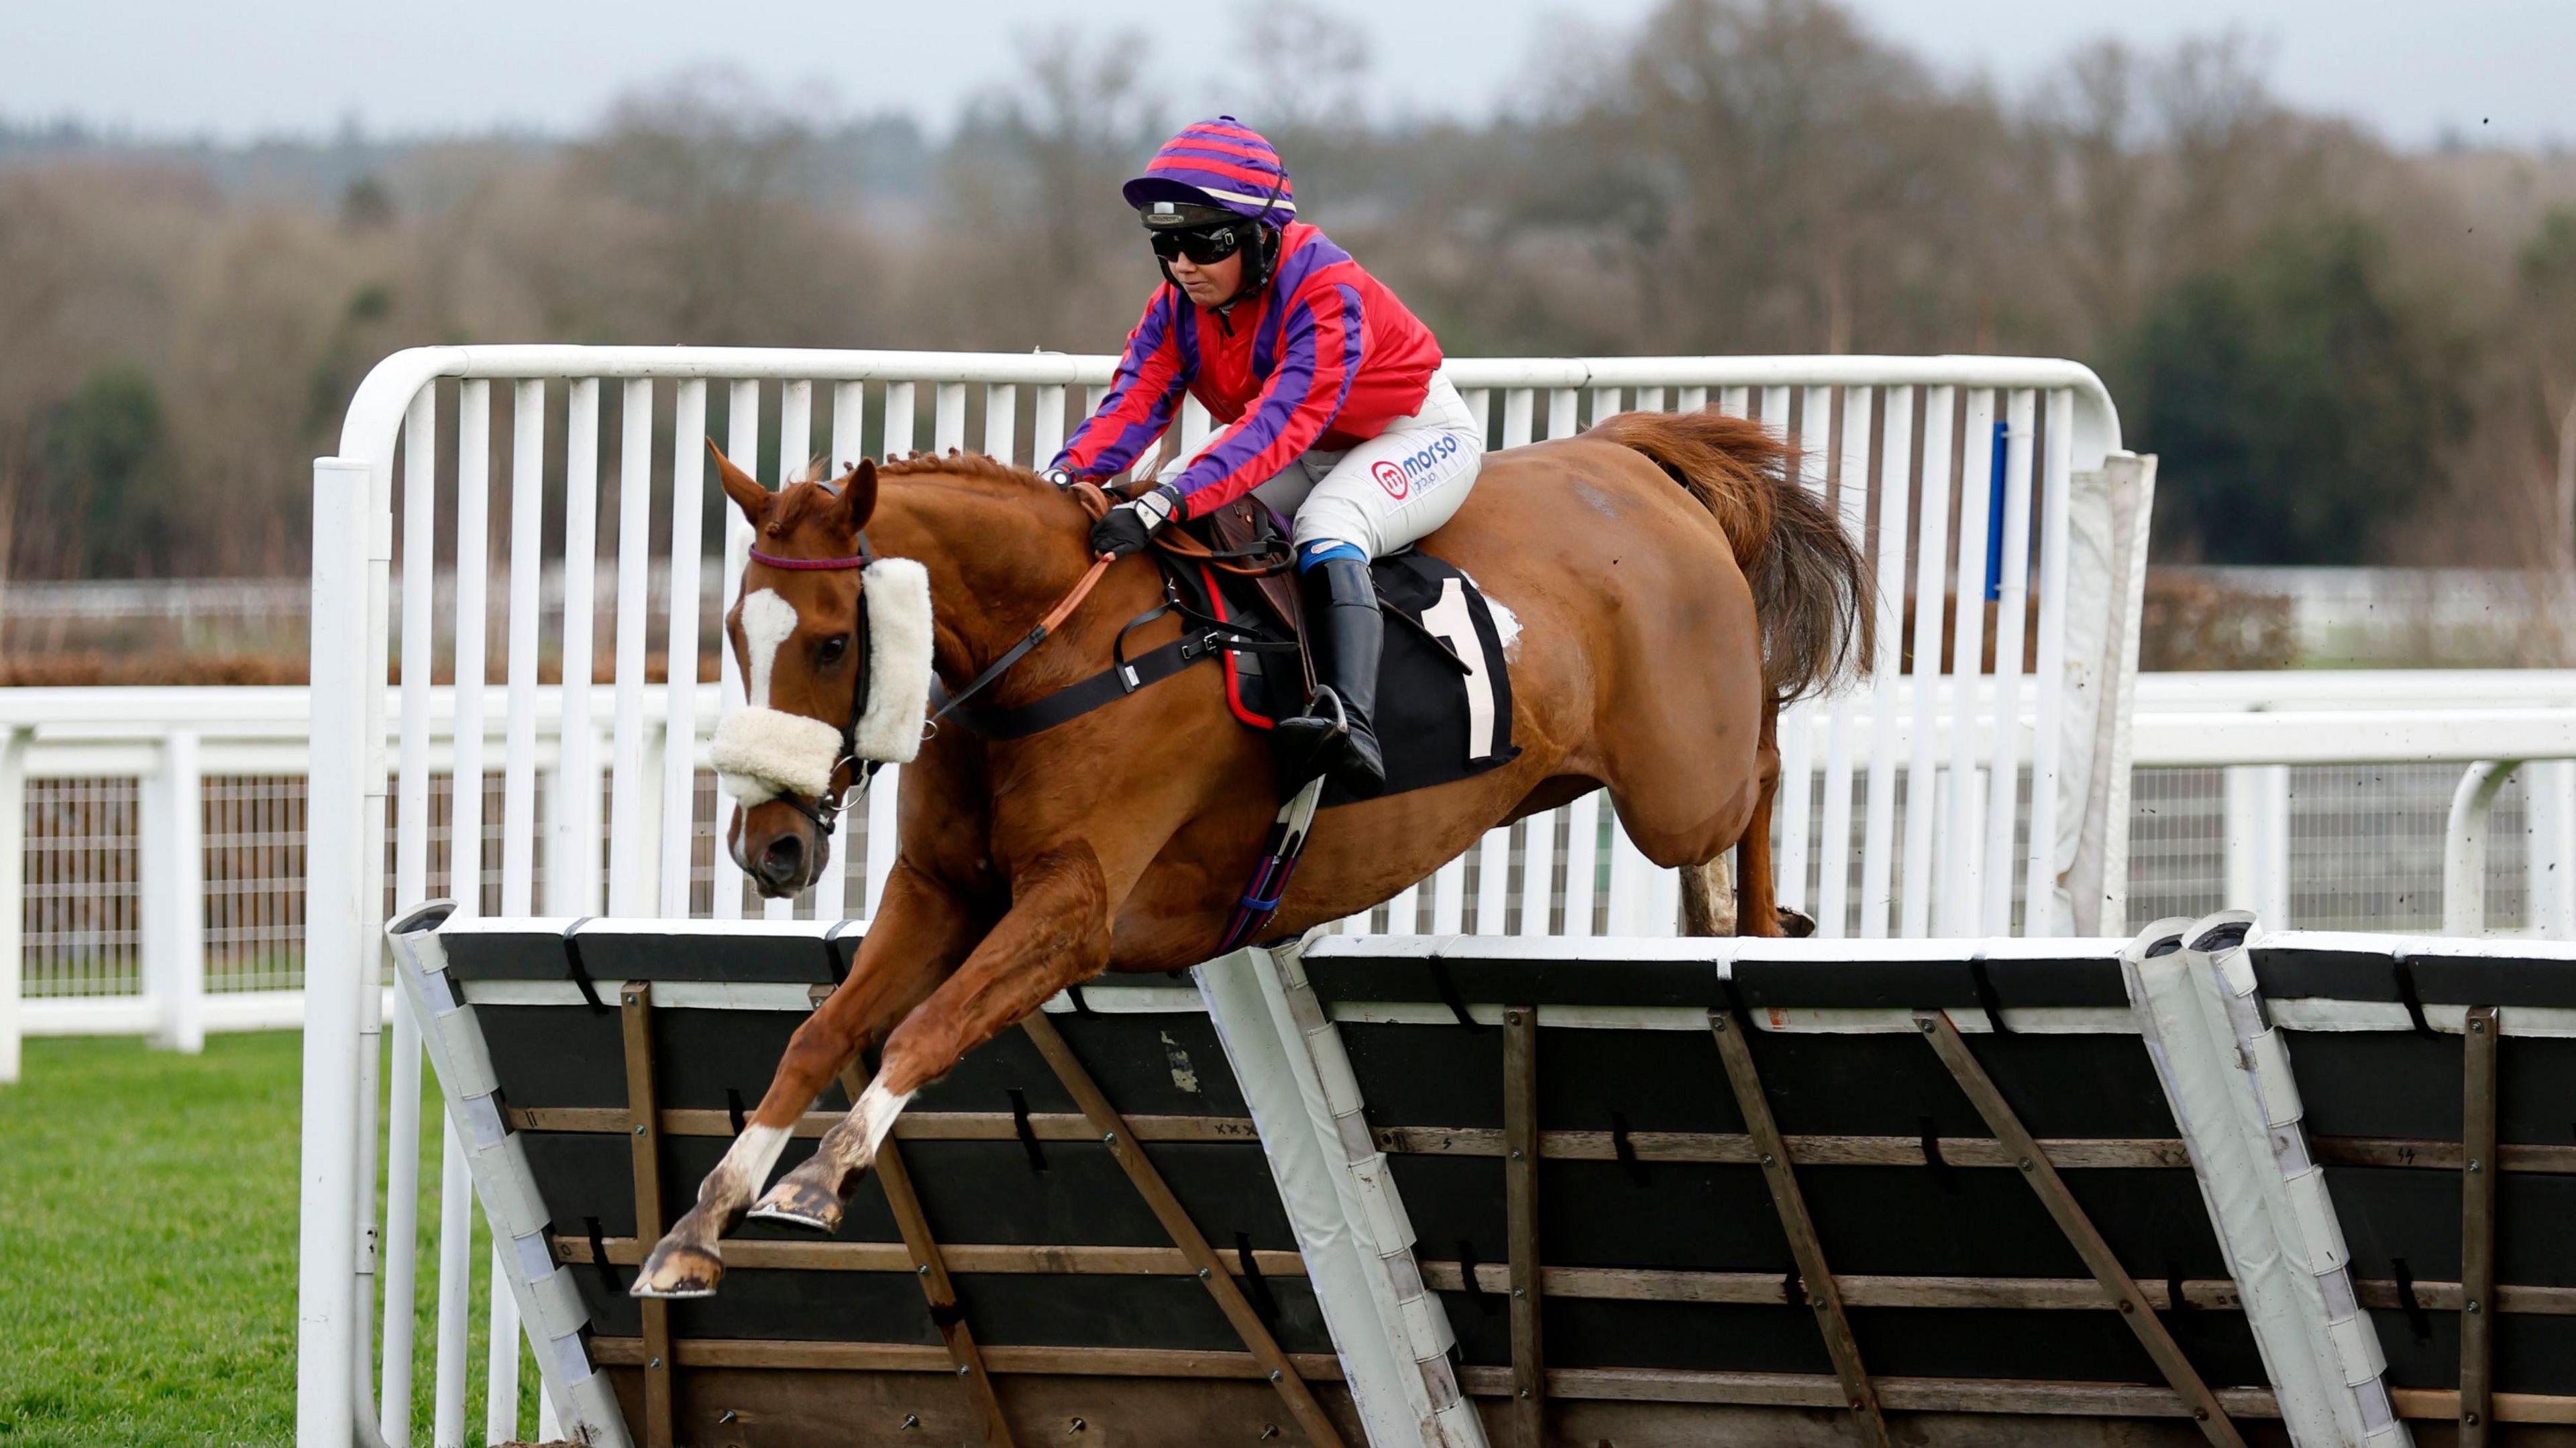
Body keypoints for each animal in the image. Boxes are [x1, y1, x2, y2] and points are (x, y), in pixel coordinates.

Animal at [631, 409, 1865, 1298]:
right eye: (737, 631)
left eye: (834, 640)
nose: (770, 844)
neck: (1062, 648)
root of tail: (1630, 458)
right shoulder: (940, 891)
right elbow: (821, 1032)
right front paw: (699, 1221)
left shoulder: (1074, 911)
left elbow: (928, 1027)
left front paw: (817, 1178)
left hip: (1680, 779)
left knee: (1761, 765)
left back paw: (1766, 926)